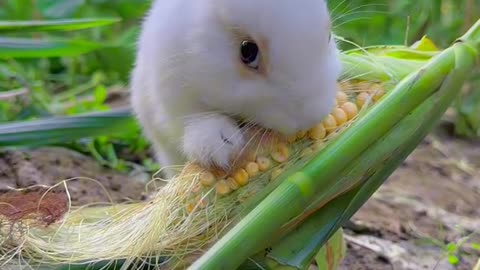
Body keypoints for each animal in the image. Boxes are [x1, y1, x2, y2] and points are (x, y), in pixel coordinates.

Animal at [129, 0, 344, 178]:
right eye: (248, 51)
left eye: (329, 36)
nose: (311, 119)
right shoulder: (171, 93)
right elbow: (193, 119)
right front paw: (220, 146)